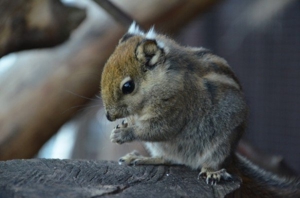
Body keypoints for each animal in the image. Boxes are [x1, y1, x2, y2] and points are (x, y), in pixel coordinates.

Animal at [99, 22, 298, 196]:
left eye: (128, 87)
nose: (108, 116)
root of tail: (231, 156)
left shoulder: (176, 107)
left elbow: (158, 129)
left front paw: (124, 133)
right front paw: (123, 126)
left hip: (221, 144)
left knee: (208, 161)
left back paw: (213, 172)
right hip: (160, 148)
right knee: (167, 159)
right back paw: (140, 158)